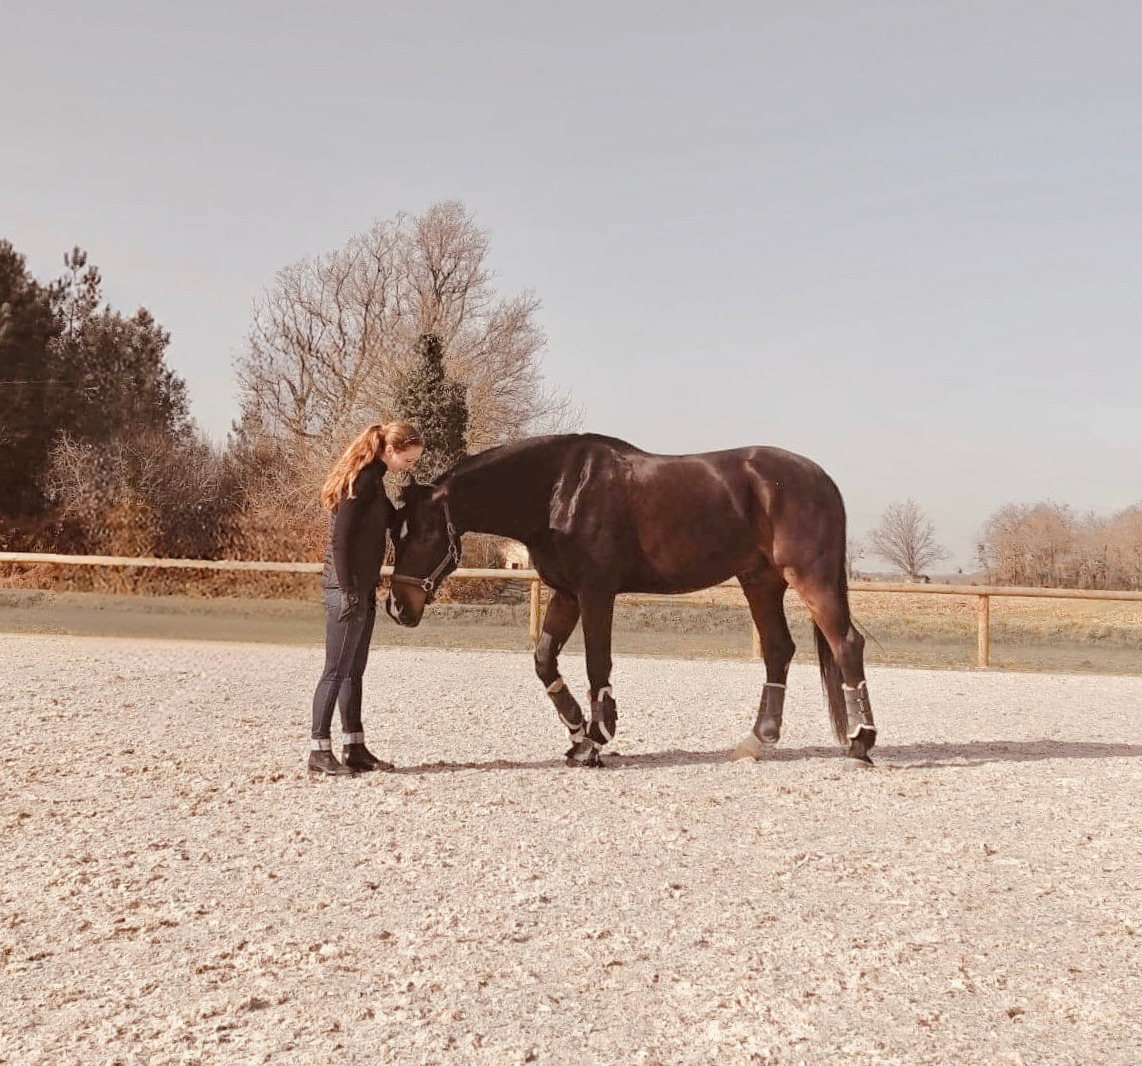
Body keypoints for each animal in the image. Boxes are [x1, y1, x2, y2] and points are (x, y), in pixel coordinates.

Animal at [386, 433, 876, 766]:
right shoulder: (566, 594)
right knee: (778, 649)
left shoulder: (595, 593)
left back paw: (861, 742)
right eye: (395, 531)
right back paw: (758, 740)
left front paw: (597, 736)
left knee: (846, 644)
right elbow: (544, 661)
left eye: (425, 533)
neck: (559, 490)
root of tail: (820, 479)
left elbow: (596, 663)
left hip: (810, 579)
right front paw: (578, 732)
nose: (398, 607)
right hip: (760, 582)